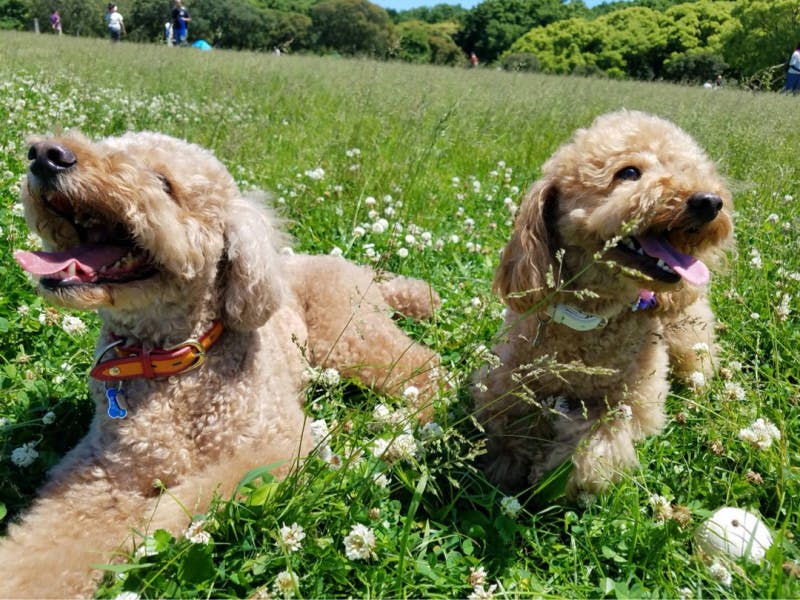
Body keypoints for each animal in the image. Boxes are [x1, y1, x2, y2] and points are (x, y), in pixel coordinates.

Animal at [1, 130, 444, 596]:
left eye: (164, 183)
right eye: (107, 146)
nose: (46, 154)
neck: (169, 363)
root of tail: (356, 268)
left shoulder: (278, 446)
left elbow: (192, 497)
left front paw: (146, 528)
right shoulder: (99, 473)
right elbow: (45, 548)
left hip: (348, 335)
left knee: (427, 366)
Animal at [472, 111, 736, 496]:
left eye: (688, 169)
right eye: (629, 172)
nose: (709, 202)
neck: (589, 317)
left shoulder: (638, 400)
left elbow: (597, 443)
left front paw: (554, 473)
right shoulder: (504, 374)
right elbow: (504, 418)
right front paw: (506, 461)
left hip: (688, 337)